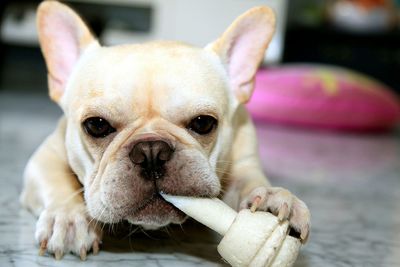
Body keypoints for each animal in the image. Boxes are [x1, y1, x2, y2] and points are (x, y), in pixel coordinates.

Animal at [20, 0, 310, 262]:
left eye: (203, 123)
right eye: (97, 125)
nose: (151, 151)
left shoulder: (244, 159)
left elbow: (249, 180)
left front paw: (272, 198)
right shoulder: (45, 157)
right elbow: (56, 180)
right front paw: (67, 217)